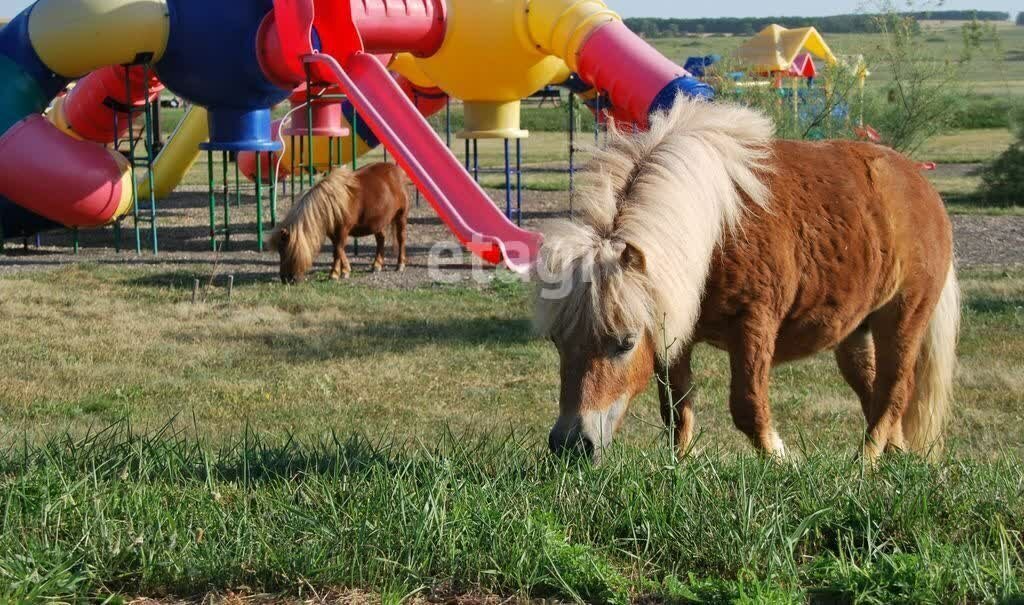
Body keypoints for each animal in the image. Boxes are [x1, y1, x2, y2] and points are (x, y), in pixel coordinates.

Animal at [270, 164, 409, 284]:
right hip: (377, 222)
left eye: (286, 251)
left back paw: (400, 264)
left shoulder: (343, 230)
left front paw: (335, 273)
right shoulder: (333, 233)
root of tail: (397, 170)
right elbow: (338, 250)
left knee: (401, 238)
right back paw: (377, 264)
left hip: (401, 215)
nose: (284, 279)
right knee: (381, 239)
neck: (329, 203)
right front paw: (345, 270)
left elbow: (338, 250)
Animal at [536, 98, 958, 464]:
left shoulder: (754, 325)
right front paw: (680, 465)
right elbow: (676, 408)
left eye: (625, 343)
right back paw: (896, 459)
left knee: (893, 392)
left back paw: (864, 465)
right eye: (557, 341)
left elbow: (747, 406)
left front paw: (781, 460)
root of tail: (921, 184)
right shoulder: (674, 328)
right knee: (875, 392)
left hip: (903, 318)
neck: (716, 229)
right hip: (856, 332)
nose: (572, 445)